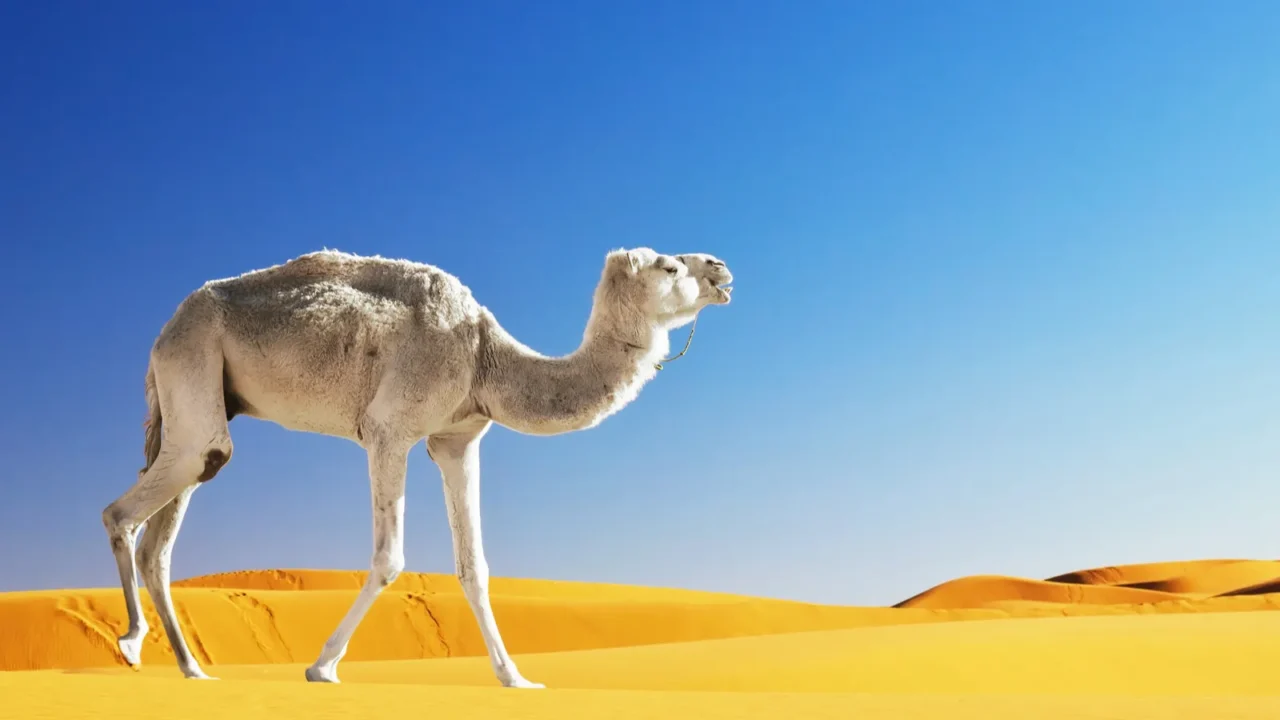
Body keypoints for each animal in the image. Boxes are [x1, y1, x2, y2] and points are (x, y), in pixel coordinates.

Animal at [100, 246, 733, 688]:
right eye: (670, 265)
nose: (721, 268)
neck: (485, 356)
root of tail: (167, 326)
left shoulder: (457, 439)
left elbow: (474, 566)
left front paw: (515, 678)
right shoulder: (389, 431)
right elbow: (389, 557)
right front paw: (323, 667)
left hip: (200, 405)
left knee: (163, 536)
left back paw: (192, 669)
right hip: (193, 366)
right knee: (124, 511)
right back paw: (130, 644)